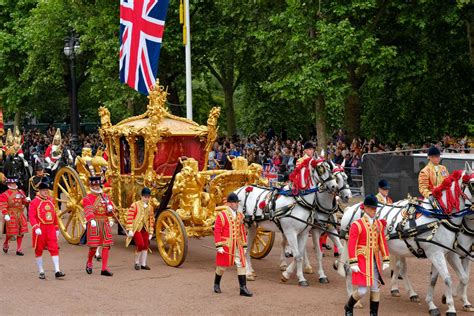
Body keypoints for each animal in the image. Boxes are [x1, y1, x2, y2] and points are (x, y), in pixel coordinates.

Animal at [241, 158, 336, 286]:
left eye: (330, 168)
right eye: (321, 169)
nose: (334, 186)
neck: (298, 201)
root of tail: (240, 189)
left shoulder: (303, 233)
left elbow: (299, 254)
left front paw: (300, 277)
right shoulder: (291, 232)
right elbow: (298, 255)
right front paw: (288, 275)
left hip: (253, 227)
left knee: (248, 248)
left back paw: (250, 271)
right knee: (243, 247)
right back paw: (246, 272)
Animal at [336, 169, 474, 314]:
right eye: (472, 184)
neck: (437, 217)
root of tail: (351, 208)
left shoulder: (446, 253)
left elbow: (442, 279)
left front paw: (434, 303)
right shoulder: (436, 253)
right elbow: (447, 279)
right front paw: (450, 307)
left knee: (400, 269)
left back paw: (410, 293)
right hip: (353, 247)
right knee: (349, 268)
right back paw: (354, 299)